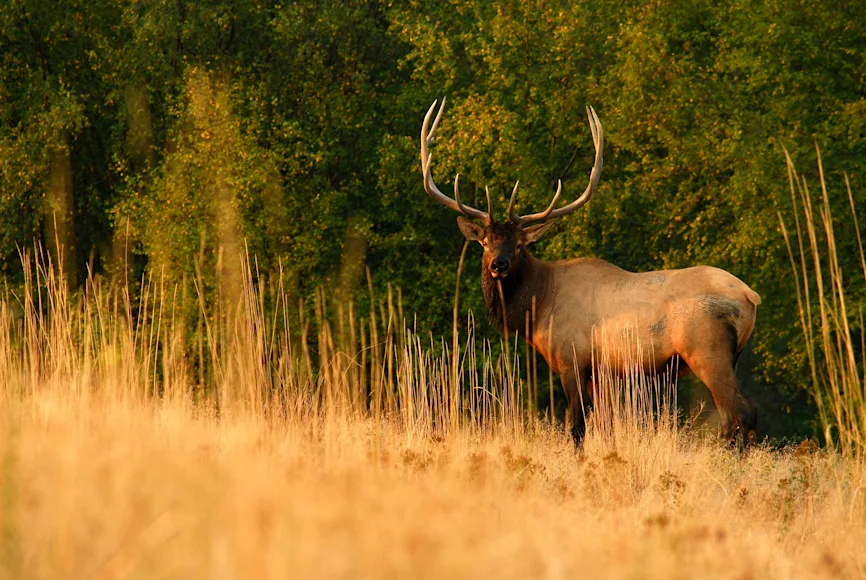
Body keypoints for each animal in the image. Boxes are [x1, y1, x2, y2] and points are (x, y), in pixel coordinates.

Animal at [420, 98, 761, 446]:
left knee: (743, 411)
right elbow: (604, 425)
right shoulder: (602, 372)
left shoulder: (571, 358)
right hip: (729, 355)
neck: (538, 307)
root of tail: (749, 295)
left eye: (518, 245)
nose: (497, 265)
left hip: (707, 348)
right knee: (732, 416)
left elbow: (577, 426)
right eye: (486, 242)